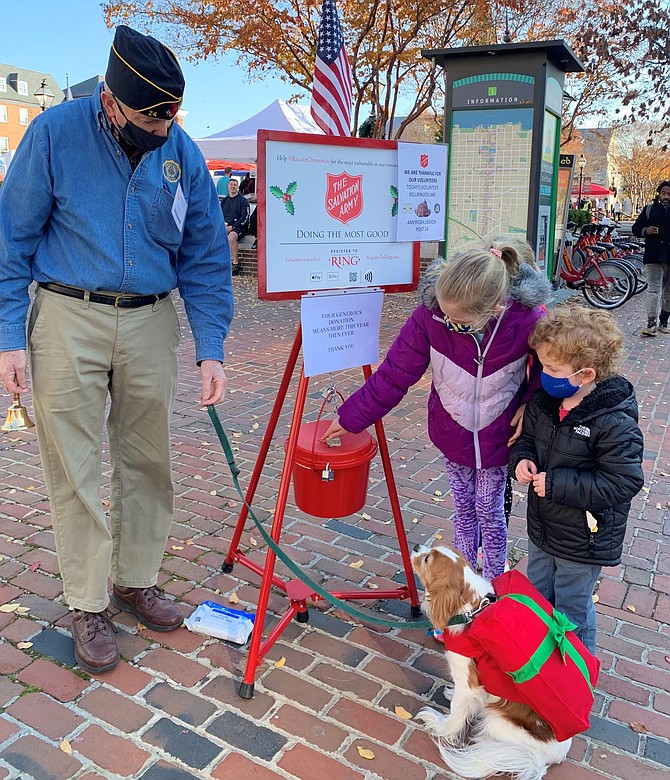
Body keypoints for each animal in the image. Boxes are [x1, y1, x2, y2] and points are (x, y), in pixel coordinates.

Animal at [410, 544, 572, 780]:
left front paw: (440, 726)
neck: (471, 609)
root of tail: (551, 759)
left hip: (496, 721)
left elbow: (456, 712)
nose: (415, 546)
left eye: (427, 559)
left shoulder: (466, 680)